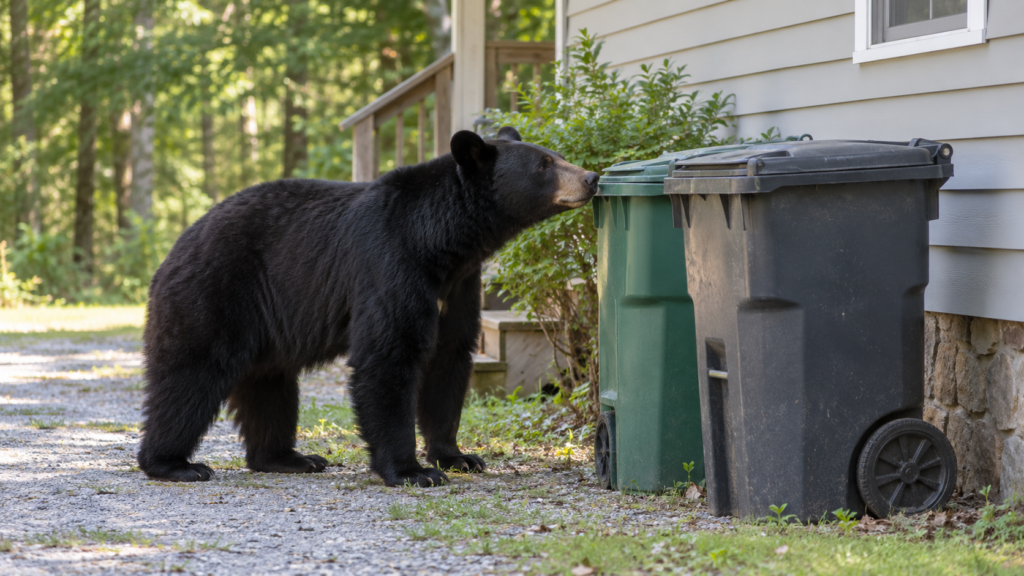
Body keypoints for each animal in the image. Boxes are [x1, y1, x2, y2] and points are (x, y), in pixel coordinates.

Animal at [136, 127, 599, 487]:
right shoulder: (391, 264)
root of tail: (171, 252)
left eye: (556, 156)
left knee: (270, 384)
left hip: (267, 323)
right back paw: (174, 463)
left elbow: (448, 359)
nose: (592, 177)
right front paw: (412, 471)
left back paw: (290, 458)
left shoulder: (459, 287)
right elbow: (389, 355)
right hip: (213, 293)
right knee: (192, 374)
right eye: (544, 165)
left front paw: (457, 456)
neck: (443, 242)